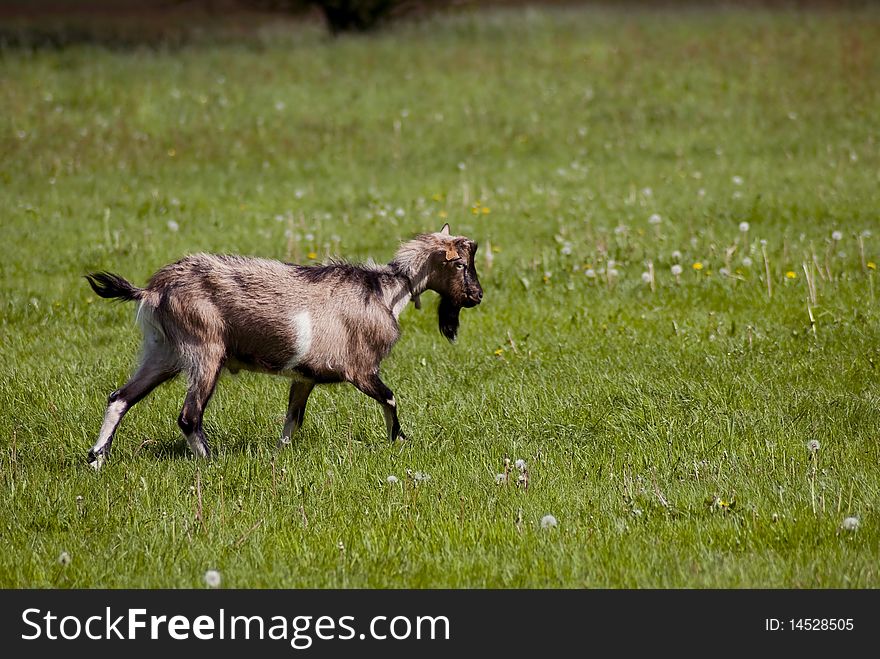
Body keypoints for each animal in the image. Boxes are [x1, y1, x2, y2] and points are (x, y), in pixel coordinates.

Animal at [84, 224, 482, 466]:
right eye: (460, 264)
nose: (477, 296)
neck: (385, 292)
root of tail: (152, 290)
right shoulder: (361, 369)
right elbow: (390, 398)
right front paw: (398, 441)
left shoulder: (304, 377)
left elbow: (293, 418)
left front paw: (280, 454)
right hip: (204, 350)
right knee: (188, 415)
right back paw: (211, 462)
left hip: (162, 350)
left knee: (120, 397)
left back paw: (96, 459)